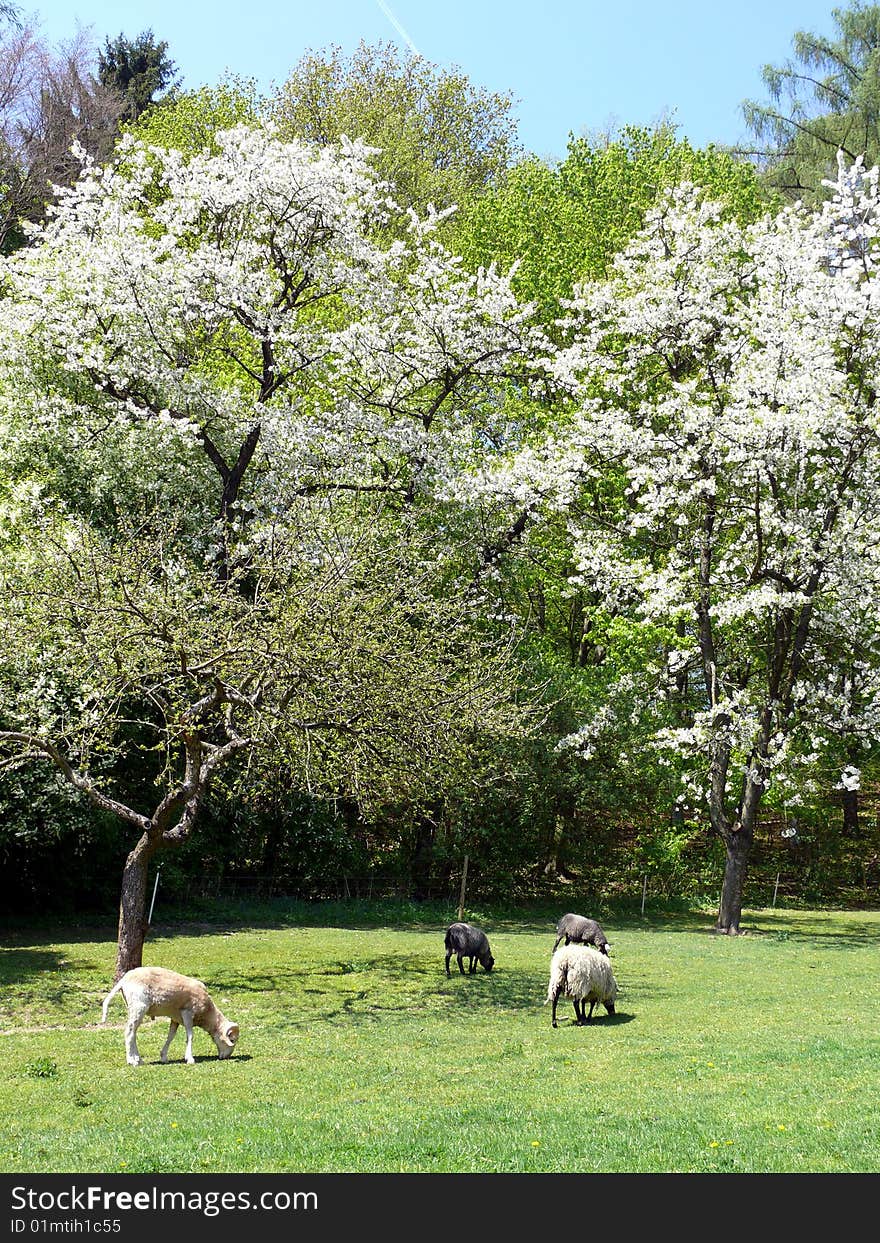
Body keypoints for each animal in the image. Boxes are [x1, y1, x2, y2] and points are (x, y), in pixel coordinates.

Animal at [100, 964, 238, 1064]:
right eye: (232, 1039)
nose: (226, 1057)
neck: (207, 1014)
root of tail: (123, 980)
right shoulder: (187, 1013)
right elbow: (190, 1036)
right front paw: (190, 1059)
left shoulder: (175, 1018)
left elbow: (170, 1036)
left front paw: (164, 1057)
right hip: (139, 1007)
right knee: (129, 1032)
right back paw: (131, 1061)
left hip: (134, 1008)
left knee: (133, 1033)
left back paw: (139, 1059)